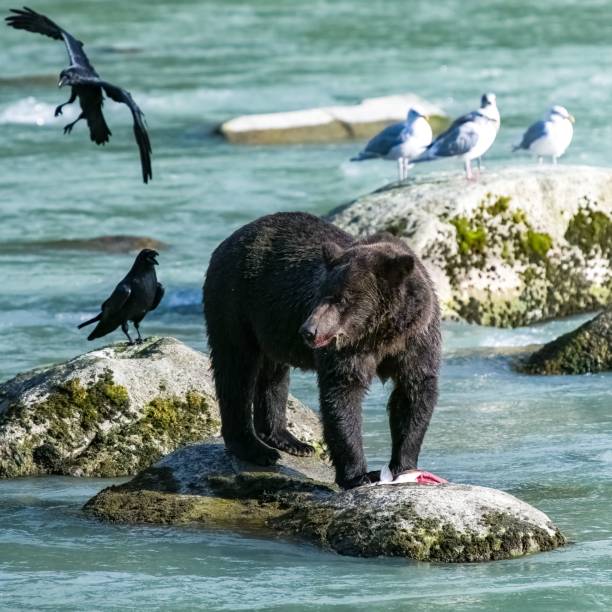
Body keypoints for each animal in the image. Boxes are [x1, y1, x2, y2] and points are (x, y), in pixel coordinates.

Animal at [204, 210, 440, 488]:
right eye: (322, 293)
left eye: (342, 299)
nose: (309, 330)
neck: (381, 334)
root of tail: (228, 240)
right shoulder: (347, 350)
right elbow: (342, 394)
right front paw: (358, 475)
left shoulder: (416, 340)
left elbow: (413, 394)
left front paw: (404, 466)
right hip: (235, 301)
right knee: (236, 369)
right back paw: (254, 448)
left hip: (271, 323)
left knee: (273, 373)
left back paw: (289, 440)